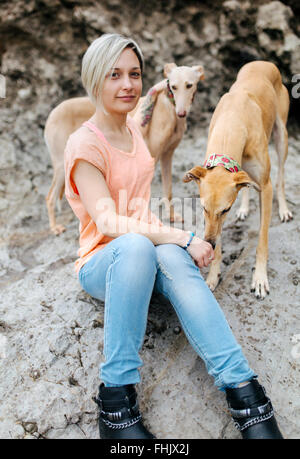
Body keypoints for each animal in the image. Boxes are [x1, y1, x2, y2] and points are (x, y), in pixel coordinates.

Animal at [44, 63, 204, 235]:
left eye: (189, 85)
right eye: (173, 87)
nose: (181, 113)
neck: (167, 108)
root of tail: (52, 114)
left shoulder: (167, 155)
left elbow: (168, 190)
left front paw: (172, 216)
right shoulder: (151, 158)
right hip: (63, 166)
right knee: (50, 197)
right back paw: (54, 227)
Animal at [184, 60, 292, 298]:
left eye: (226, 210)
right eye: (203, 208)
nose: (208, 243)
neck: (232, 120)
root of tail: (264, 62)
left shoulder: (265, 188)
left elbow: (262, 240)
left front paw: (259, 278)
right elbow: (219, 236)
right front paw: (212, 277)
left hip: (282, 136)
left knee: (281, 176)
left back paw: (284, 209)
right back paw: (244, 208)